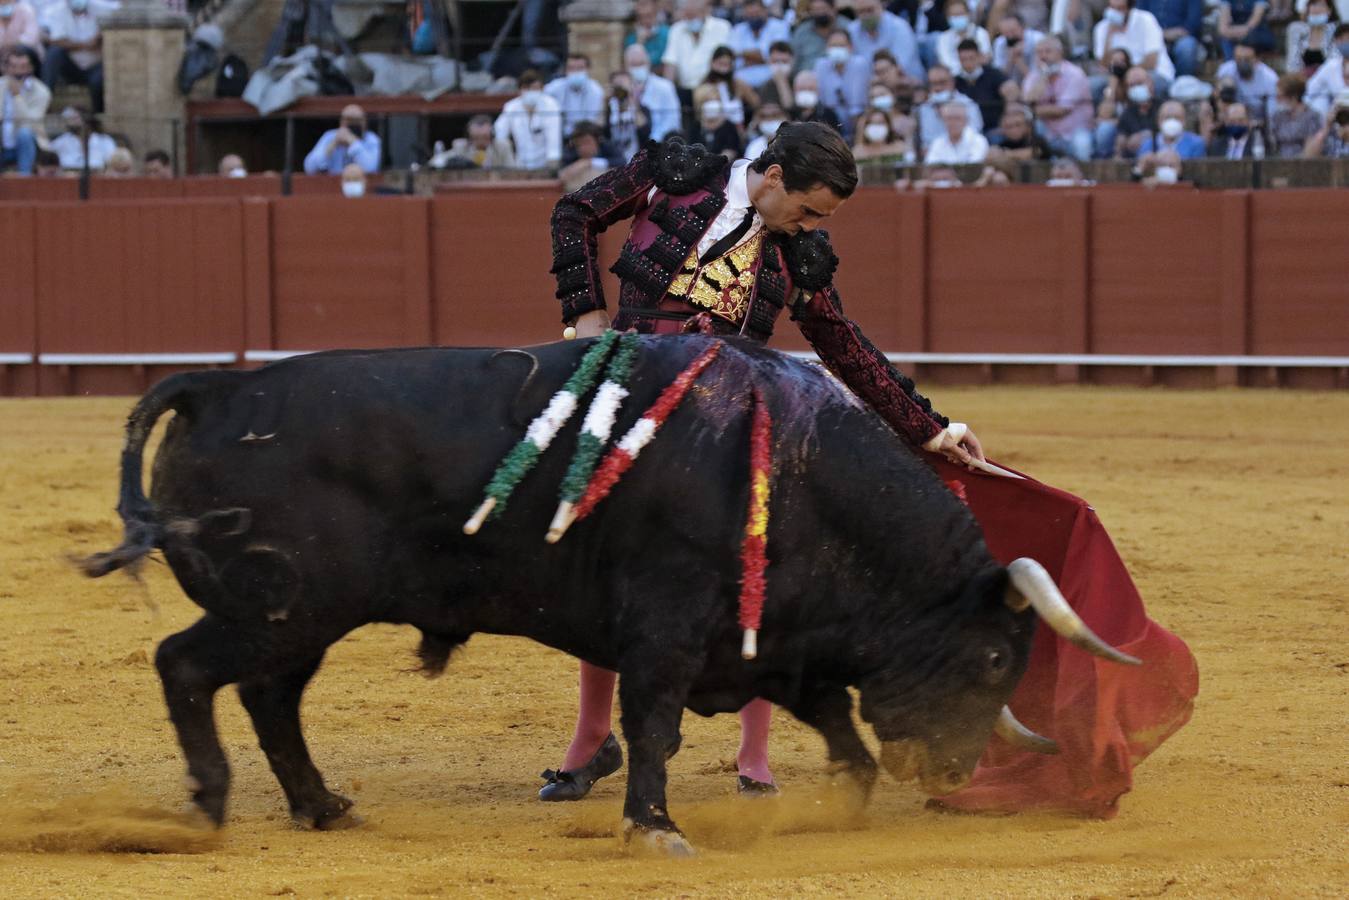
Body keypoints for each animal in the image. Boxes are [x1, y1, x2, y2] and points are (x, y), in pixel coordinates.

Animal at [84, 335, 1133, 852]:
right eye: (994, 658)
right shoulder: (667, 631)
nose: (952, 773)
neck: (799, 468)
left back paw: (321, 806)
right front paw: (654, 827)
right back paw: (208, 806)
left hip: (297, 618)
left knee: (270, 696)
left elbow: (838, 728)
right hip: (278, 607)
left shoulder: (781, 643)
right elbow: (655, 723)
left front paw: (836, 802)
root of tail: (220, 390)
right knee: (186, 667)